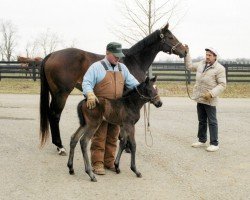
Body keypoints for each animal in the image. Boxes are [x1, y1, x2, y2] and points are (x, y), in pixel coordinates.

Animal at [39, 23, 188, 155]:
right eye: (170, 37)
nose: (185, 51)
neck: (134, 60)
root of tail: (51, 55)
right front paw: (127, 146)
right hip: (61, 94)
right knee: (55, 115)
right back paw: (60, 146)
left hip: (55, 93)